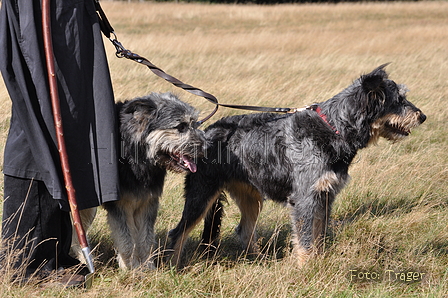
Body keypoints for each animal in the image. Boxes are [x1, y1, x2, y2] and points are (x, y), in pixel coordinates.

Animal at [99, 92, 205, 268]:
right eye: (181, 127)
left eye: (194, 123)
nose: (206, 146)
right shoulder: (120, 206)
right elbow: (127, 240)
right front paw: (131, 268)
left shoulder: (147, 202)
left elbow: (145, 239)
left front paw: (148, 267)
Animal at [166, 65, 426, 268]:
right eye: (399, 101)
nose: (422, 116)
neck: (334, 128)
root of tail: (205, 133)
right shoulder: (305, 198)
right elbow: (305, 239)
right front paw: (306, 268)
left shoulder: (325, 195)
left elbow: (319, 235)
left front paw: (318, 262)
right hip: (201, 196)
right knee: (177, 232)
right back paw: (172, 267)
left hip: (251, 198)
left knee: (244, 229)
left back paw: (260, 260)